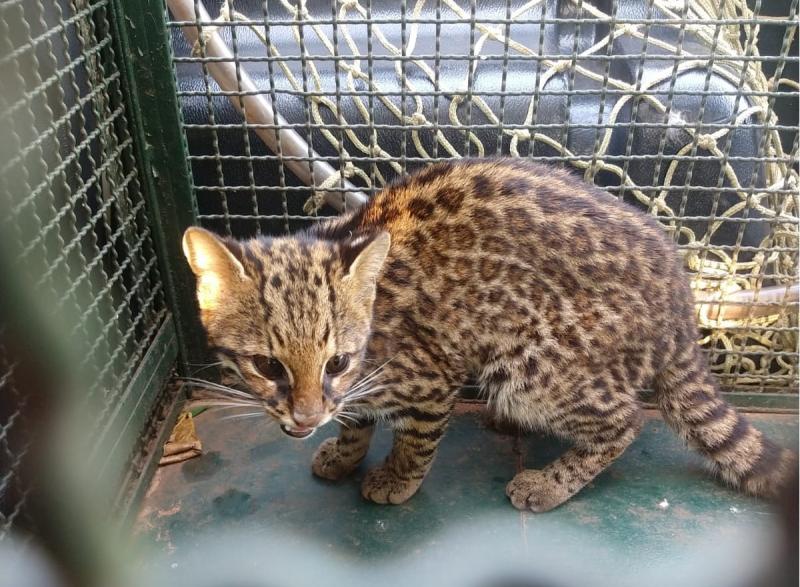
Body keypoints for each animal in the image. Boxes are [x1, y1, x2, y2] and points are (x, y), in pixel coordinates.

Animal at [183, 158, 800, 512]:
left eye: (335, 362)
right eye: (268, 366)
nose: (307, 420)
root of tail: (682, 304)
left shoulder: (430, 377)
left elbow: (414, 438)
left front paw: (397, 477)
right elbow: (356, 419)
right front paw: (344, 450)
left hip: (537, 369)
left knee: (624, 422)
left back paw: (550, 481)